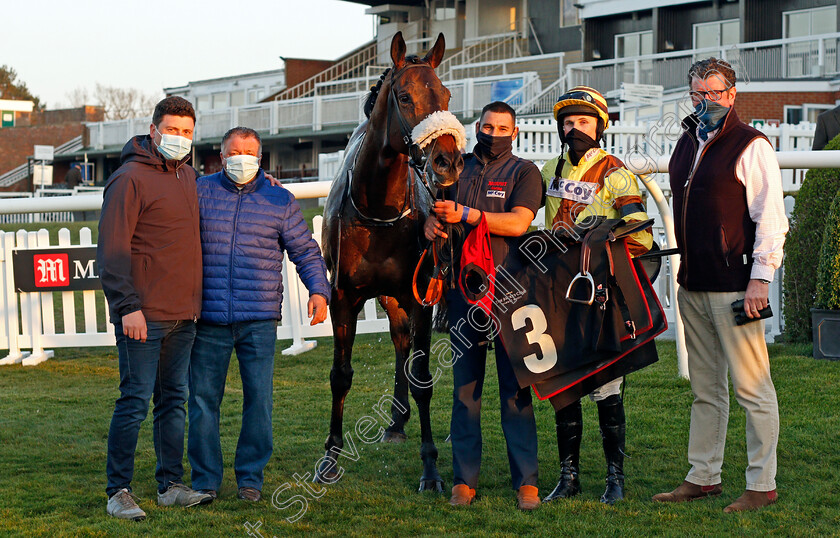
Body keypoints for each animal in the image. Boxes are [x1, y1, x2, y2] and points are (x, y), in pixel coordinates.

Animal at [320, 30, 466, 490]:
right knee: (398, 340)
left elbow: (422, 379)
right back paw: (396, 423)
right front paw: (330, 456)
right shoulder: (343, 297)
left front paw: (431, 467)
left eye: (447, 95)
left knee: (406, 344)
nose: (447, 161)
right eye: (404, 97)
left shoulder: (420, 295)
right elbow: (340, 375)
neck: (379, 210)